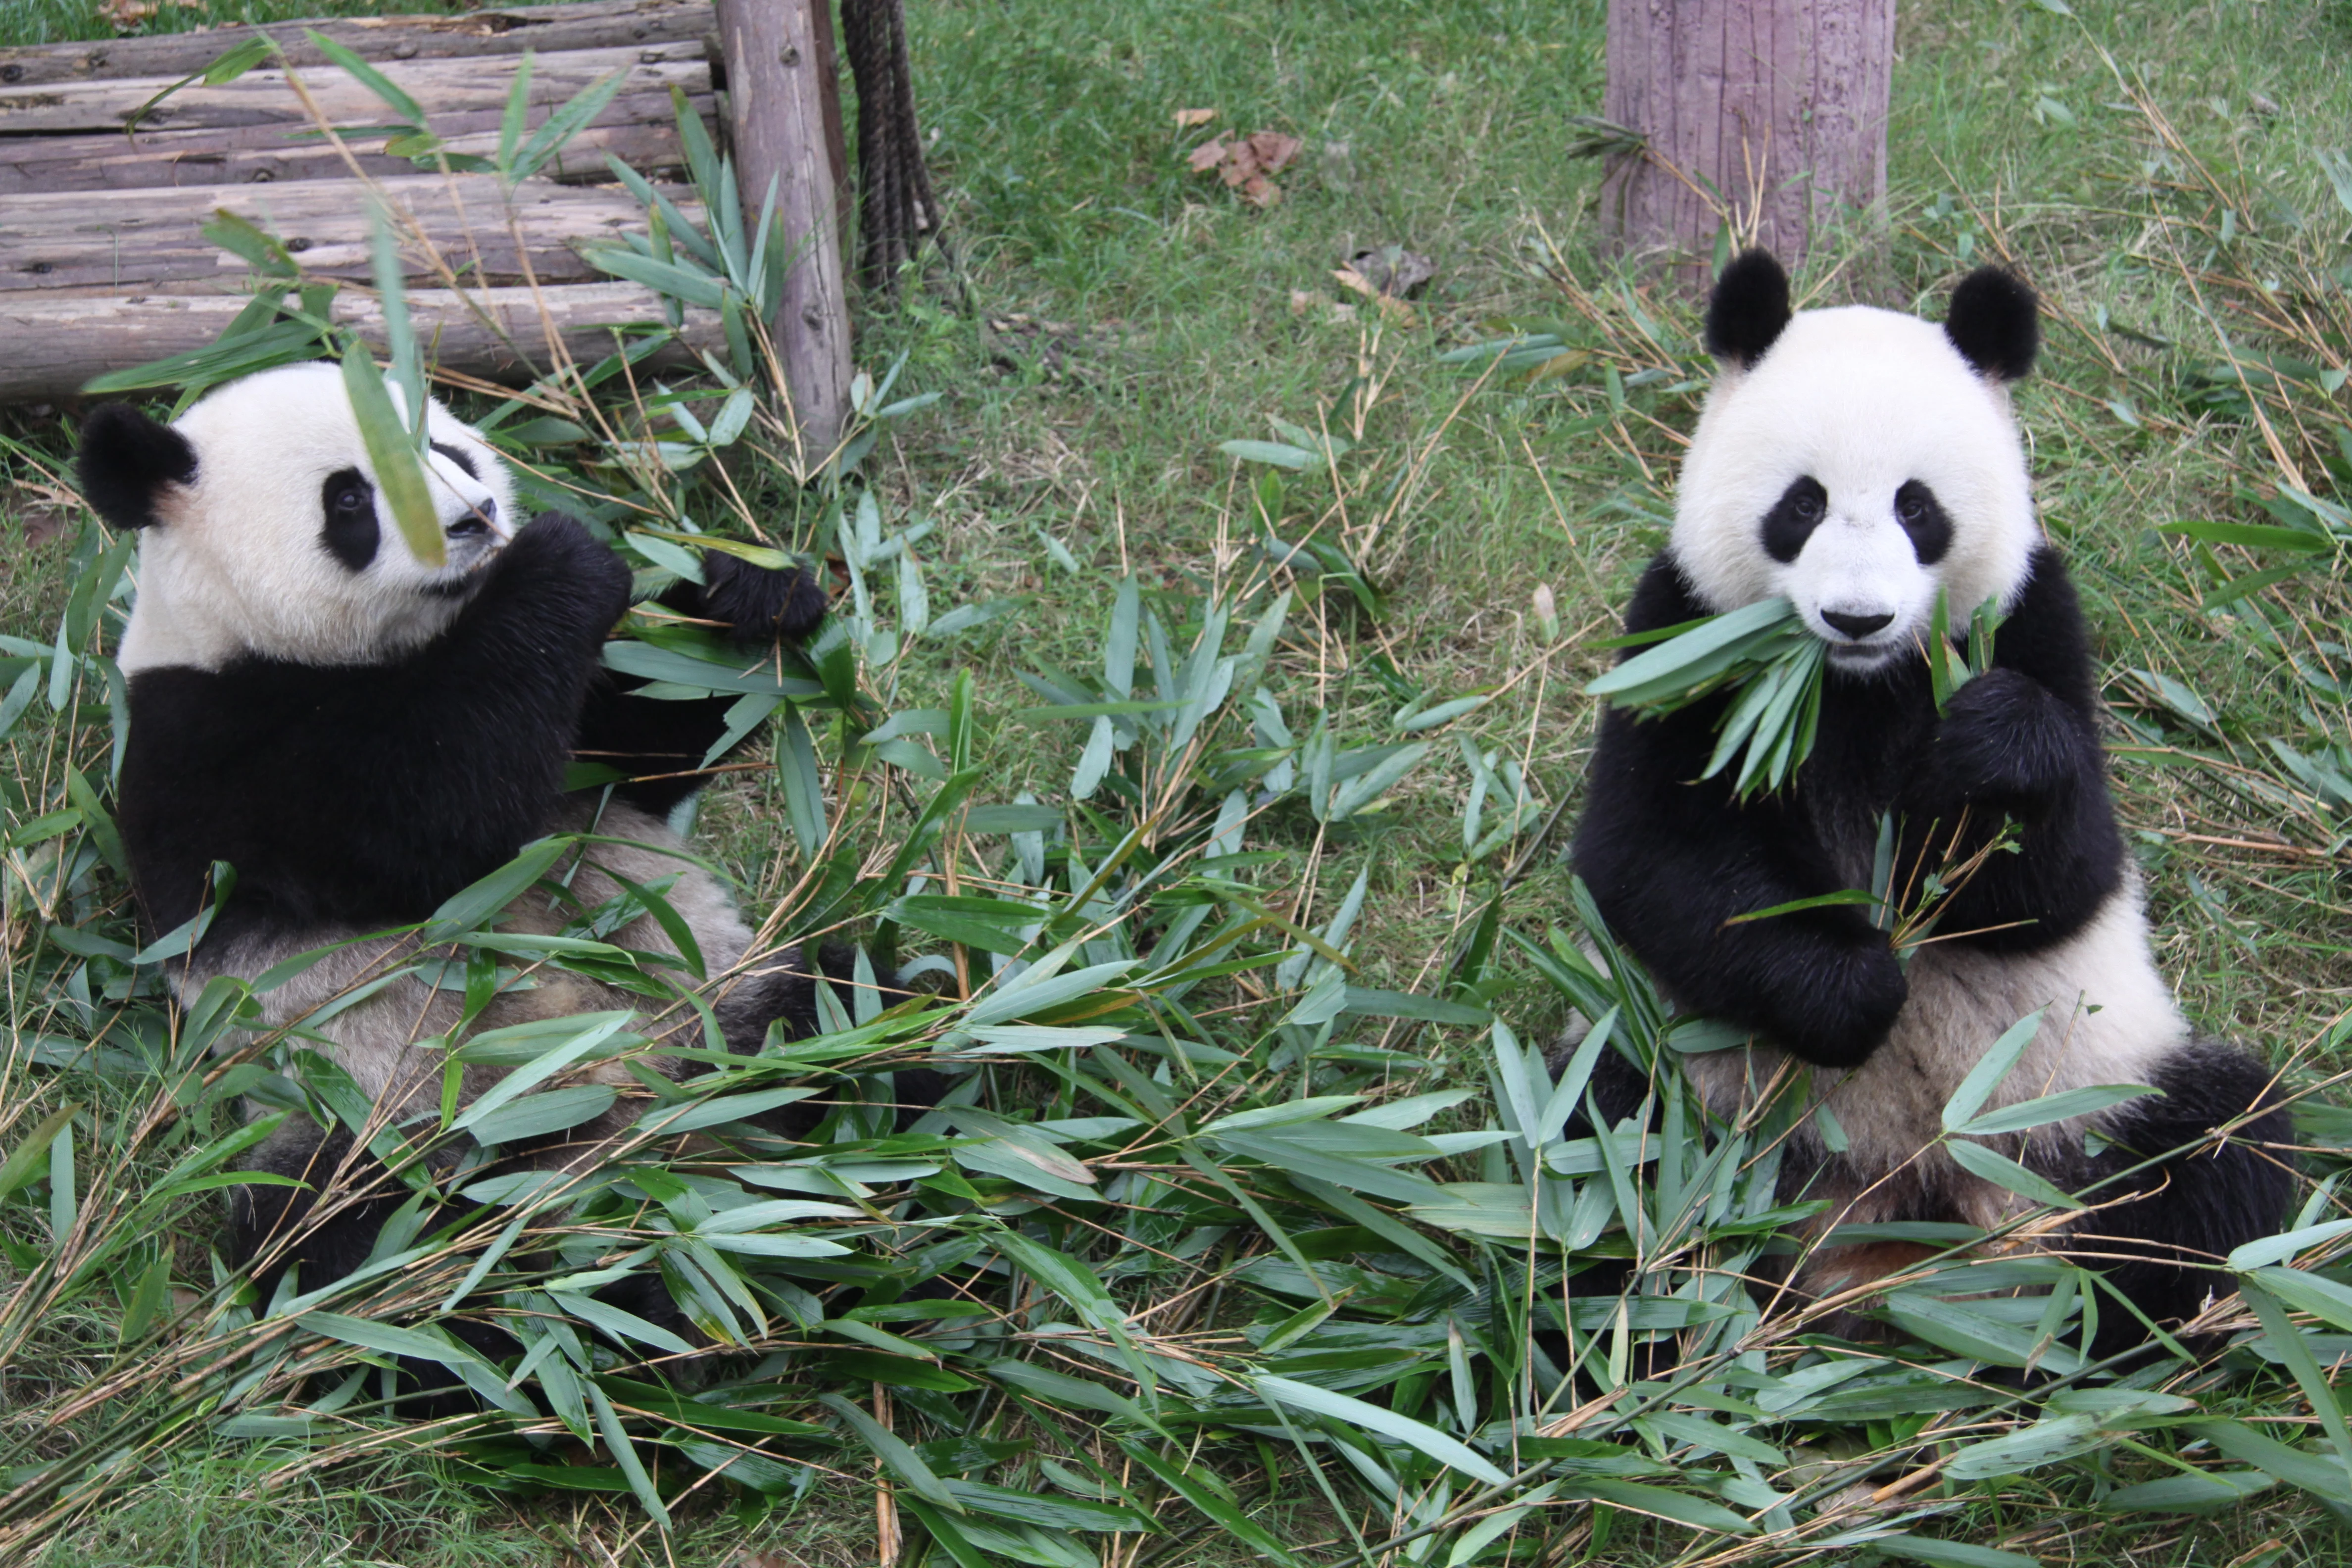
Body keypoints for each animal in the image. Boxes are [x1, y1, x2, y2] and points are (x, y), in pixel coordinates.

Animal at [75, 360, 888, 1308]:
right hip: (372, 1114)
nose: (476, 519)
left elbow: (642, 737)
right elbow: (426, 826)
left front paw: (750, 589)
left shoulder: (578, 729)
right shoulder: (207, 749)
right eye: (351, 499)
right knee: (342, 1246)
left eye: (444, 447)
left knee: (853, 1006)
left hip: (718, 1005)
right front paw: (563, 558)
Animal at [1571, 252, 2292, 1352]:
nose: (1857, 616)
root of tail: (1893, 1215)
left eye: (1918, 508)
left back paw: (2089, 1321)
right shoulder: (1682, 634)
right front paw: (1858, 984)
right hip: (1693, 1088)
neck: (1855, 689)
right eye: (1802, 505)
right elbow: (1652, 858)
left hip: (2080, 1096)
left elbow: (2062, 877)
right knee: (1601, 1158)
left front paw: (1996, 750)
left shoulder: (2035, 615)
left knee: (2219, 1147)